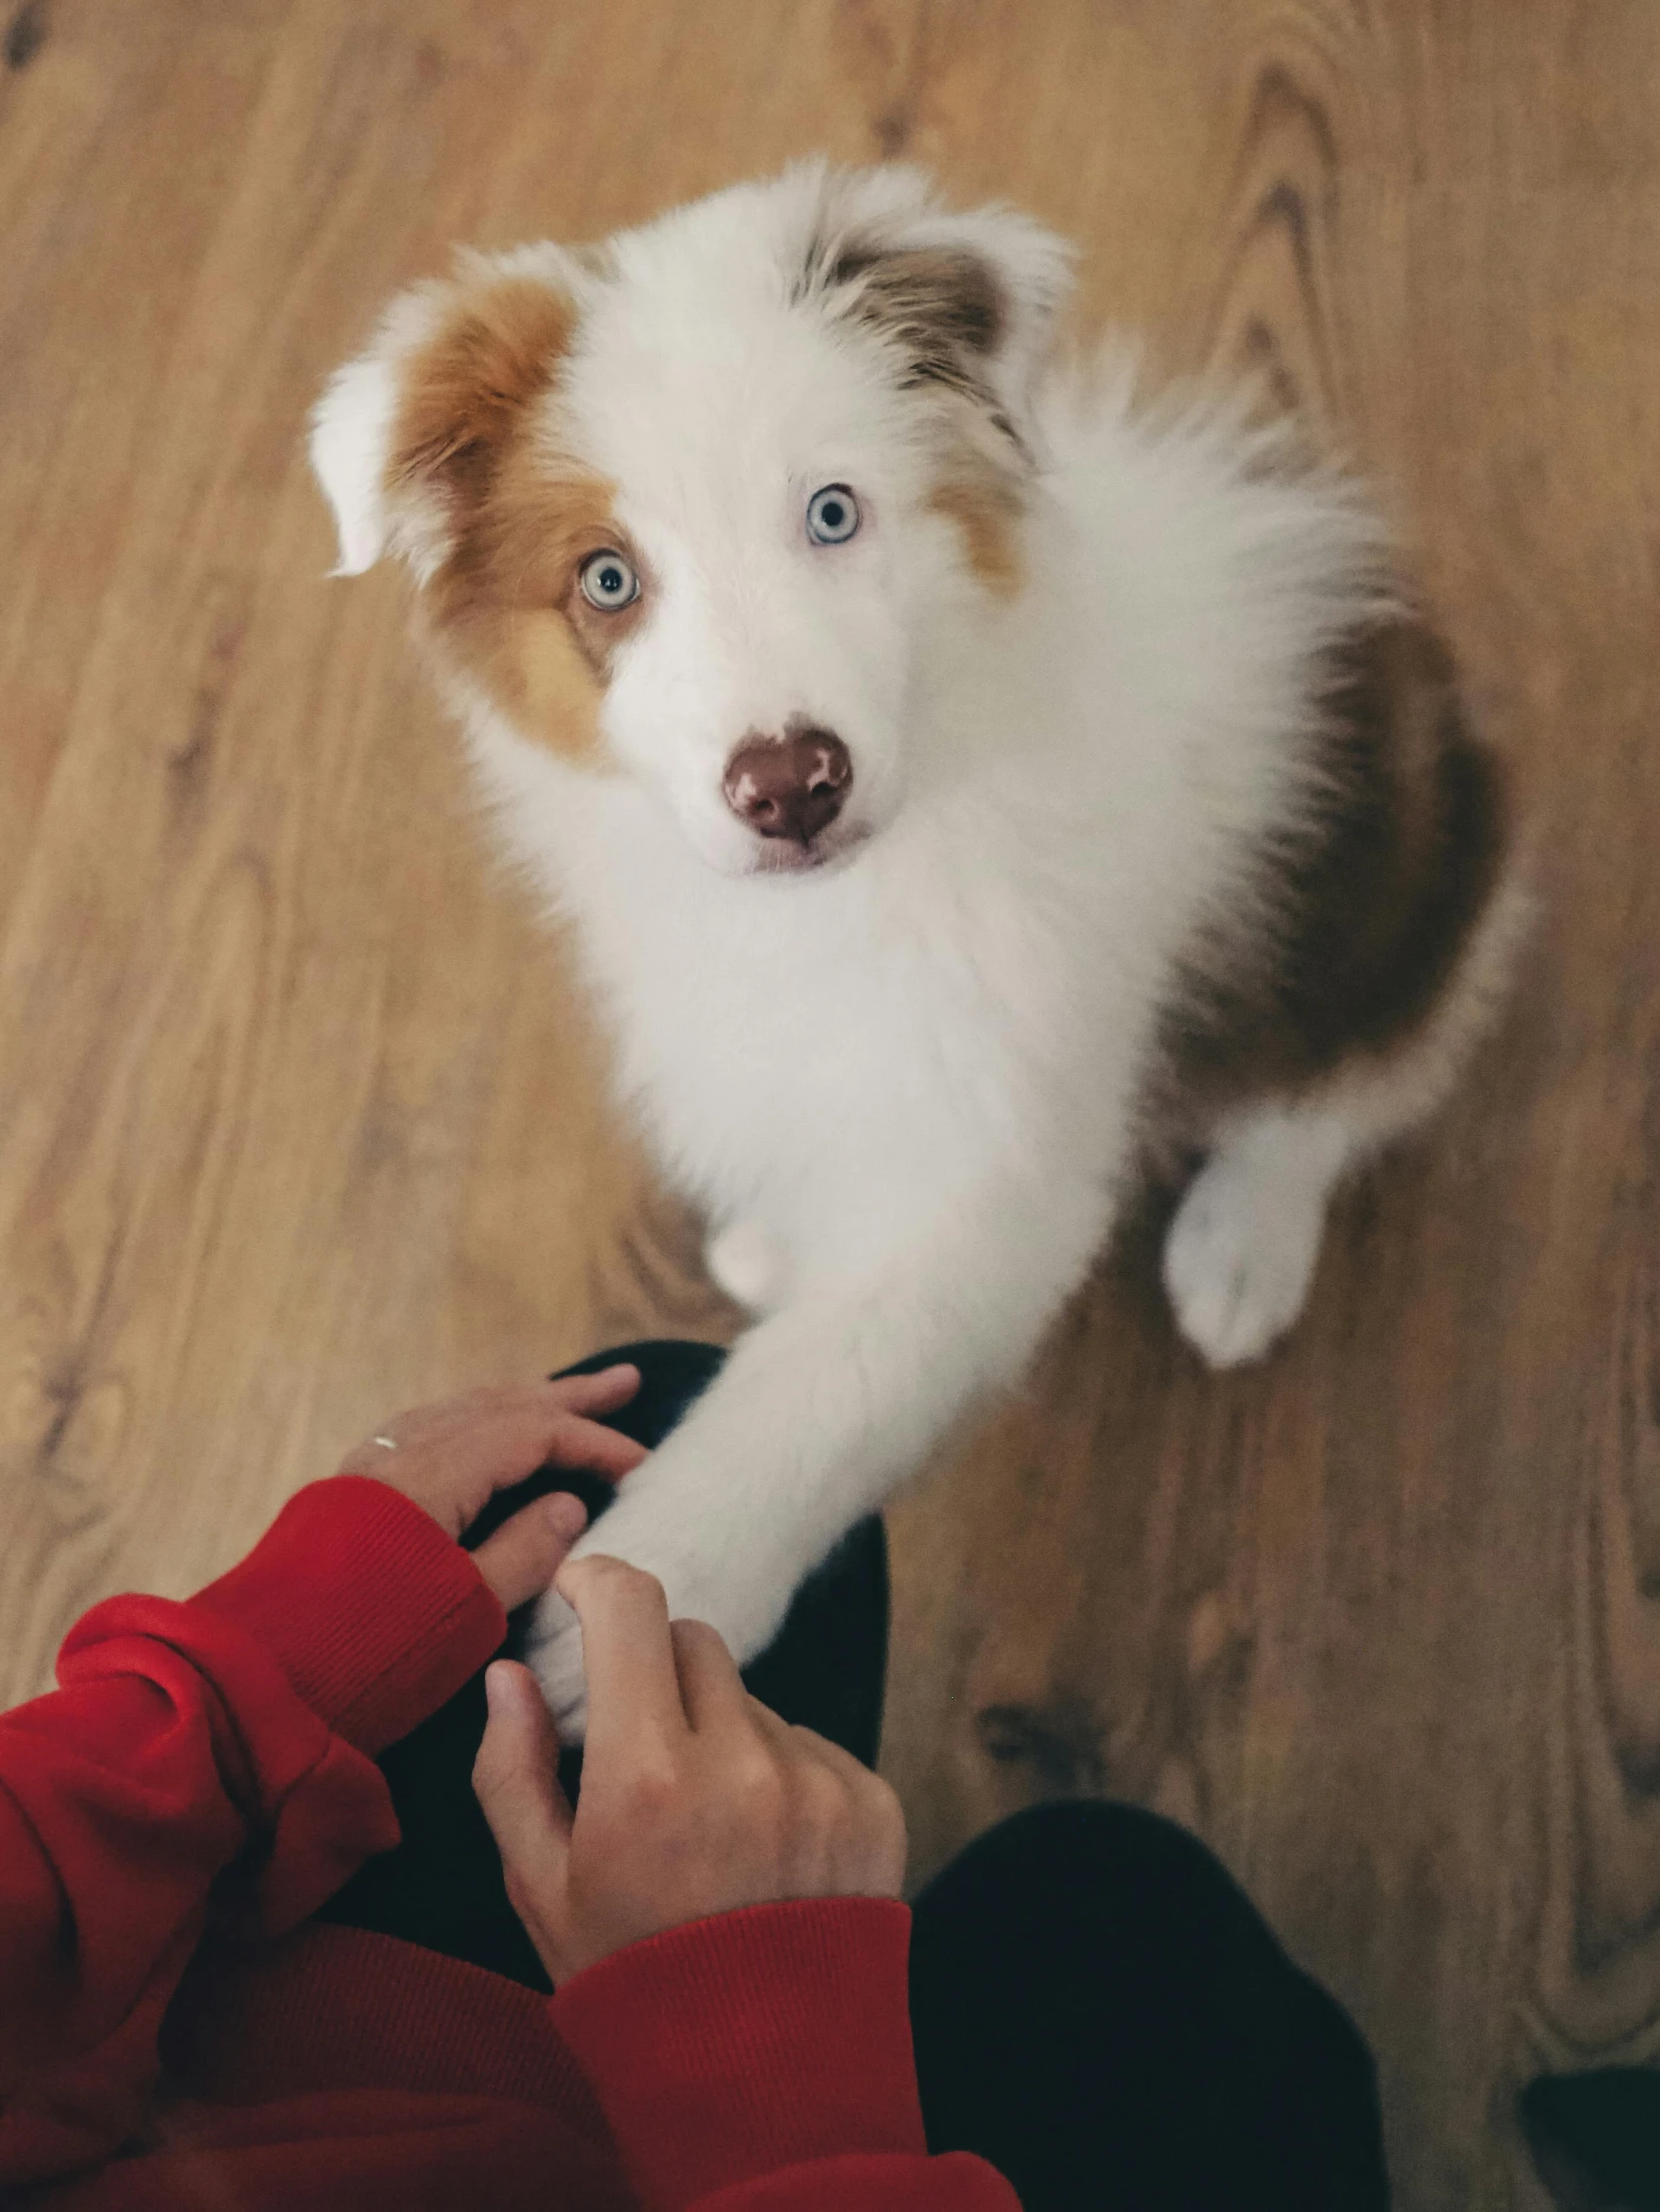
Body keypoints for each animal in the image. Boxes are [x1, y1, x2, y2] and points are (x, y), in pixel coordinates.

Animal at [310, 163, 1522, 1734]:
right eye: (606, 580)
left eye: (834, 512)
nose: (788, 784)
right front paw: (782, 1236)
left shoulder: (1004, 1147)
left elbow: (833, 1380)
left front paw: (631, 1601)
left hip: (1416, 889)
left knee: (1343, 1087)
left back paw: (1242, 1248)